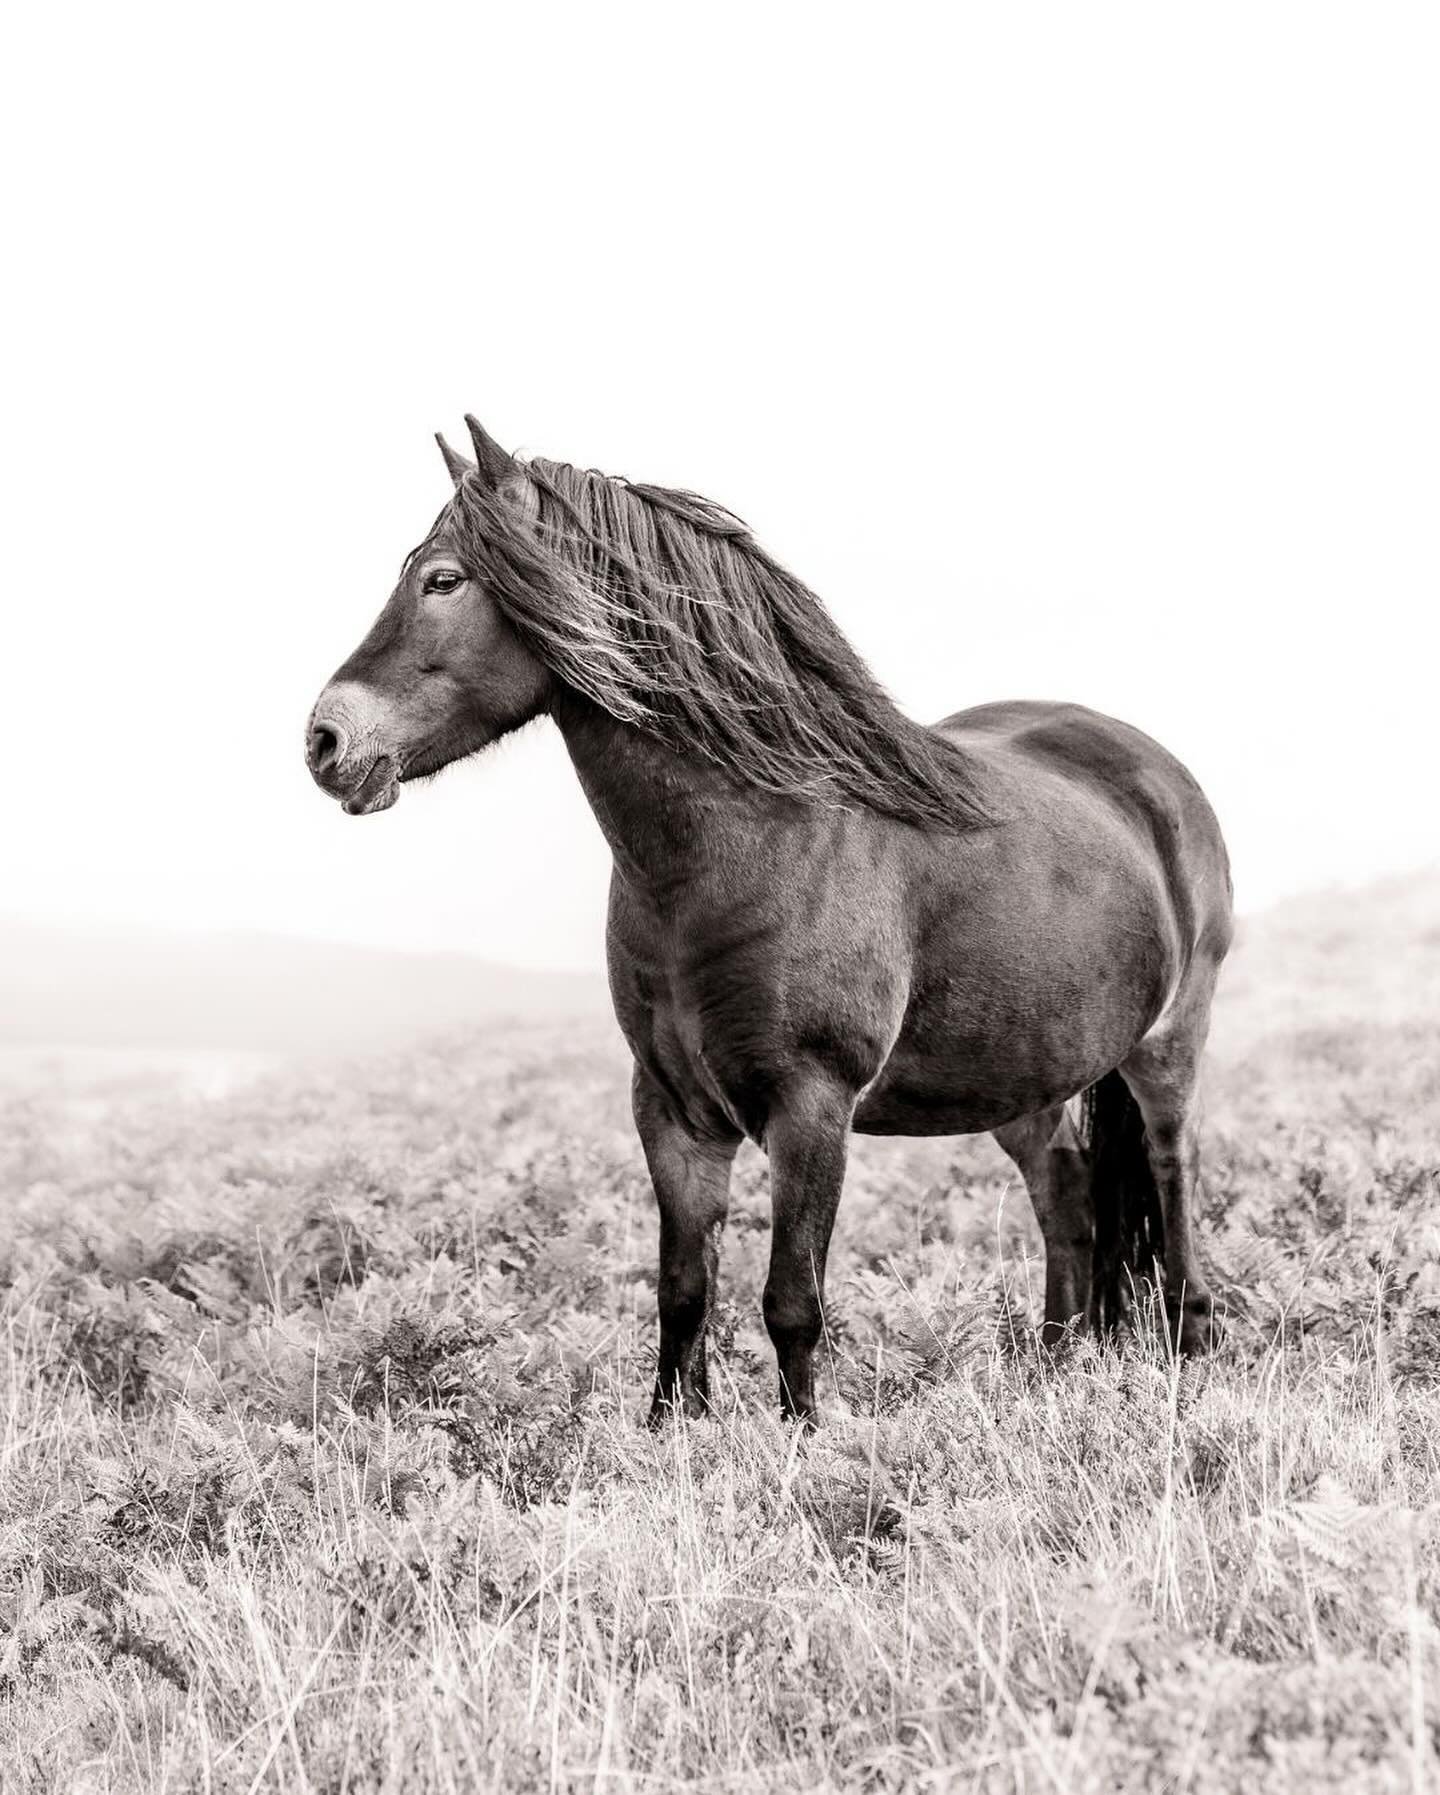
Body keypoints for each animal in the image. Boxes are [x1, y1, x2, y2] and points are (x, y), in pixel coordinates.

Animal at [308, 412, 1228, 1421]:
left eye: (443, 579)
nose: (325, 741)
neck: (746, 847)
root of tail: (1152, 769)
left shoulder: (810, 1106)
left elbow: (791, 1299)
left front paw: (805, 1437)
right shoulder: (672, 1111)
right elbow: (682, 1291)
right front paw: (671, 1429)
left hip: (1166, 1049)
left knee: (1173, 1173)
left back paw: (1189, 1337)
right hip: (1021, 1074)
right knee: (1064, 1188)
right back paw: (1056, 1360)